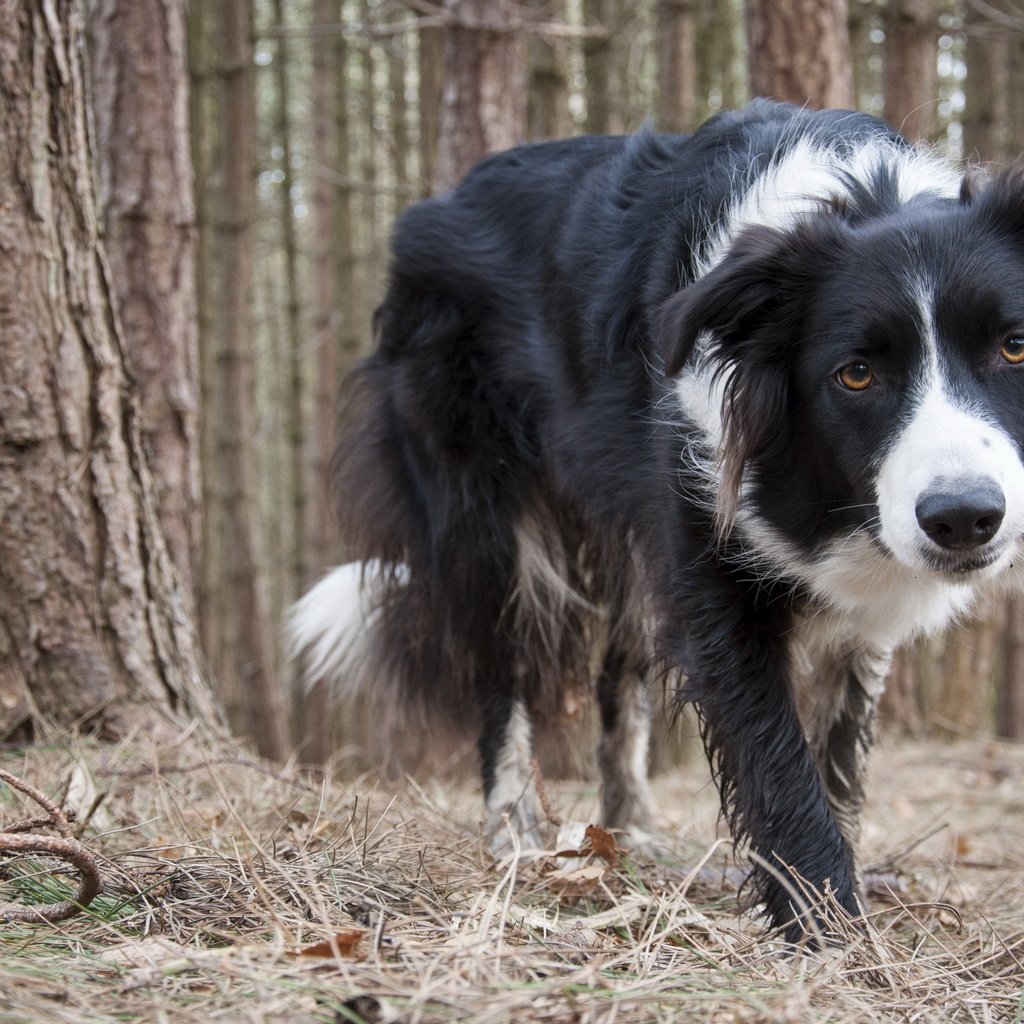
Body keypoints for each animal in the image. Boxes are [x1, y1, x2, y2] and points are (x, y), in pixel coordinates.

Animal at [290, 101, 1024, 942]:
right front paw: (827, 928)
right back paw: (515, 838)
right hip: (475, 487)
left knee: (622, 665)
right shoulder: (709, 532)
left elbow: (841, 743)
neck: (864, 195)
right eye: (857, 374)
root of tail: (431, 207)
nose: (965, 520)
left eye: (1015, 347)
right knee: (501, 660)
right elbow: (770, 746)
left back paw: (628, 833)